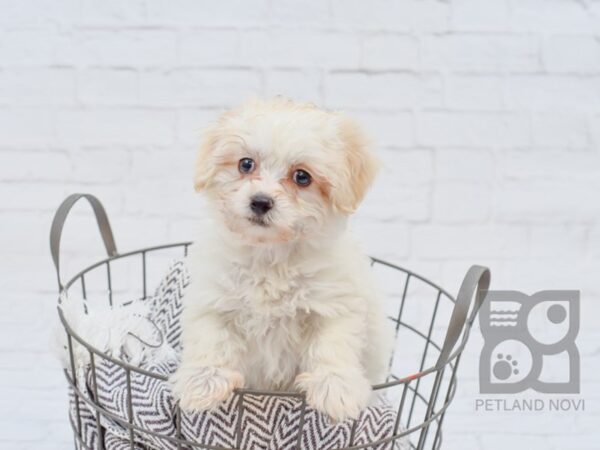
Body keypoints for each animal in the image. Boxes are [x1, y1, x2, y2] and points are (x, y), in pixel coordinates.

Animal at [171, 97, 392, 422]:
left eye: (302, 177)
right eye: (245, 164)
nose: (261, 202)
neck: (270, 256)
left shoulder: (333, 303)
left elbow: (332, 344)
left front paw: (334, 387)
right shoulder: (215, 298)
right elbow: (212, 338)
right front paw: (204, 381)